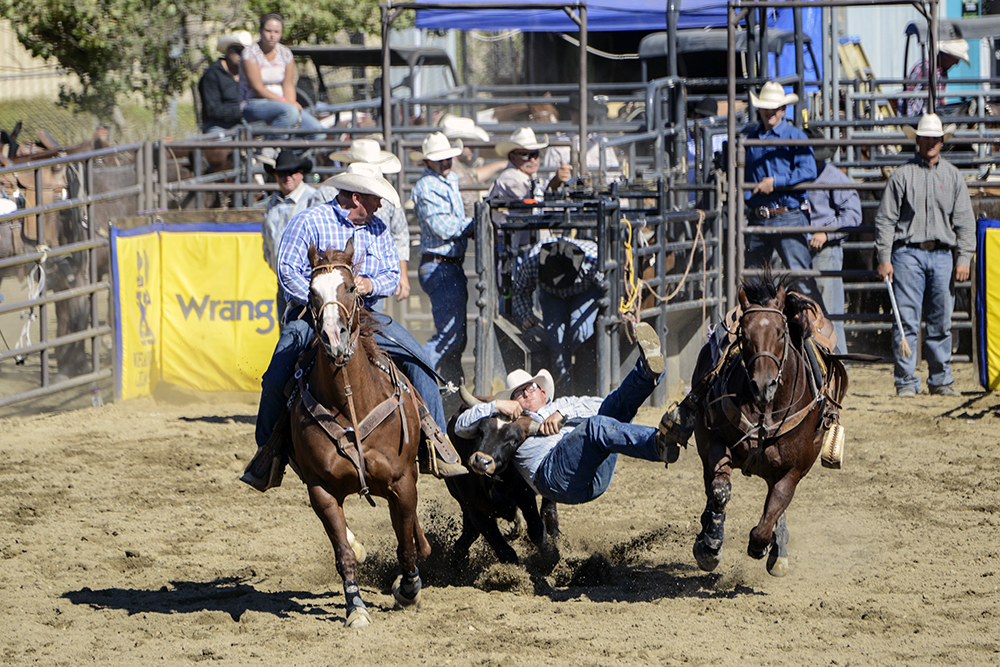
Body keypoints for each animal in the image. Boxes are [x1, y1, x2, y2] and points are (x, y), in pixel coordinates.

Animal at [290, 244, 430, 628]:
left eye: (352, 288)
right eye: (311, 292)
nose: (334, 337)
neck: (350, 399)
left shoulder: (402, 480)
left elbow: (406, 546)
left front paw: (408, 590)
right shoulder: (320, 490)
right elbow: (343, 554)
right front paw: (355, 608)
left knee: (410, 530)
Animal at [692, 274, 848, 576]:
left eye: (780, 333)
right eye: (744, 334)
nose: (763, 385)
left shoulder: (793, 469)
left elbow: (772, 512)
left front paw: (766, 547)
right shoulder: (715, 442)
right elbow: (720, 490)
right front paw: (710, 546)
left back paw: (778, 547)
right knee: (710, 486)